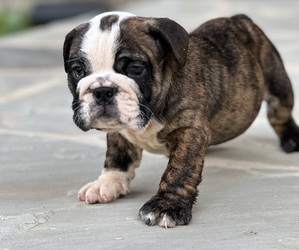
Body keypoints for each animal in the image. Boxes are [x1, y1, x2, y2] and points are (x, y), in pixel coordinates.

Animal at [62, 11, 298, 227]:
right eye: (78, 71)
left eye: (135, 69)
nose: (102, 91)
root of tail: (240, 19)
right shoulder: (119, 129)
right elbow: (117, 153)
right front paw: (108, 182)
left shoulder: (189, 131)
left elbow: (180, 169)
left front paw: (166, 206)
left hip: (277, 82)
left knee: (280, 114)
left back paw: (291, 139)